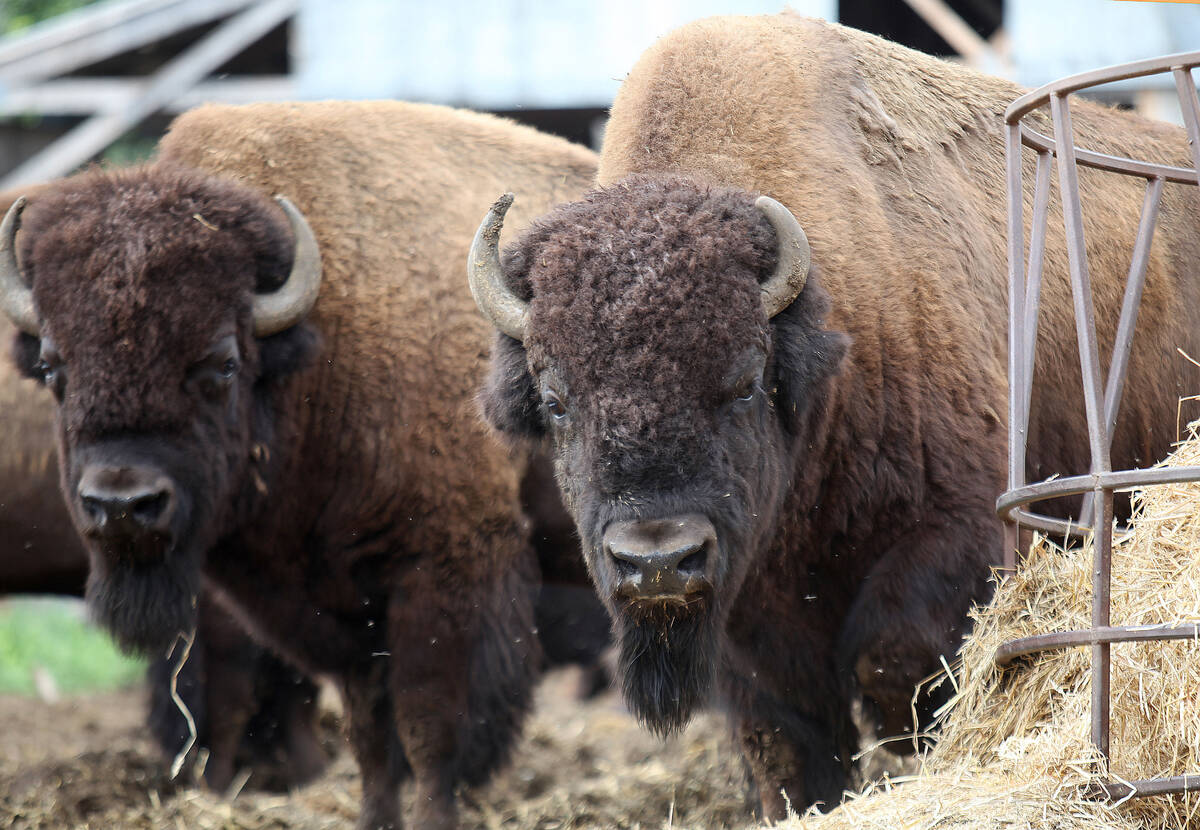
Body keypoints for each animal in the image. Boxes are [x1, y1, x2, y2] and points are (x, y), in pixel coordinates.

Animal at [1, 101, 597, 830]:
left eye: (222, 362)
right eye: (53, 366)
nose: (122, 505)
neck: (327, 326)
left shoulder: (446, 573)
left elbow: (429, 730)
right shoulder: (335, 613)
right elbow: (371, 737)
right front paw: (374, 819)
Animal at [470, 14, 1200, 817]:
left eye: (744, 383)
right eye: (556, 402)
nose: (657, 560)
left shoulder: (956, 530)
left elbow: (894, 660)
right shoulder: (751, 610)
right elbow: (787, 735)